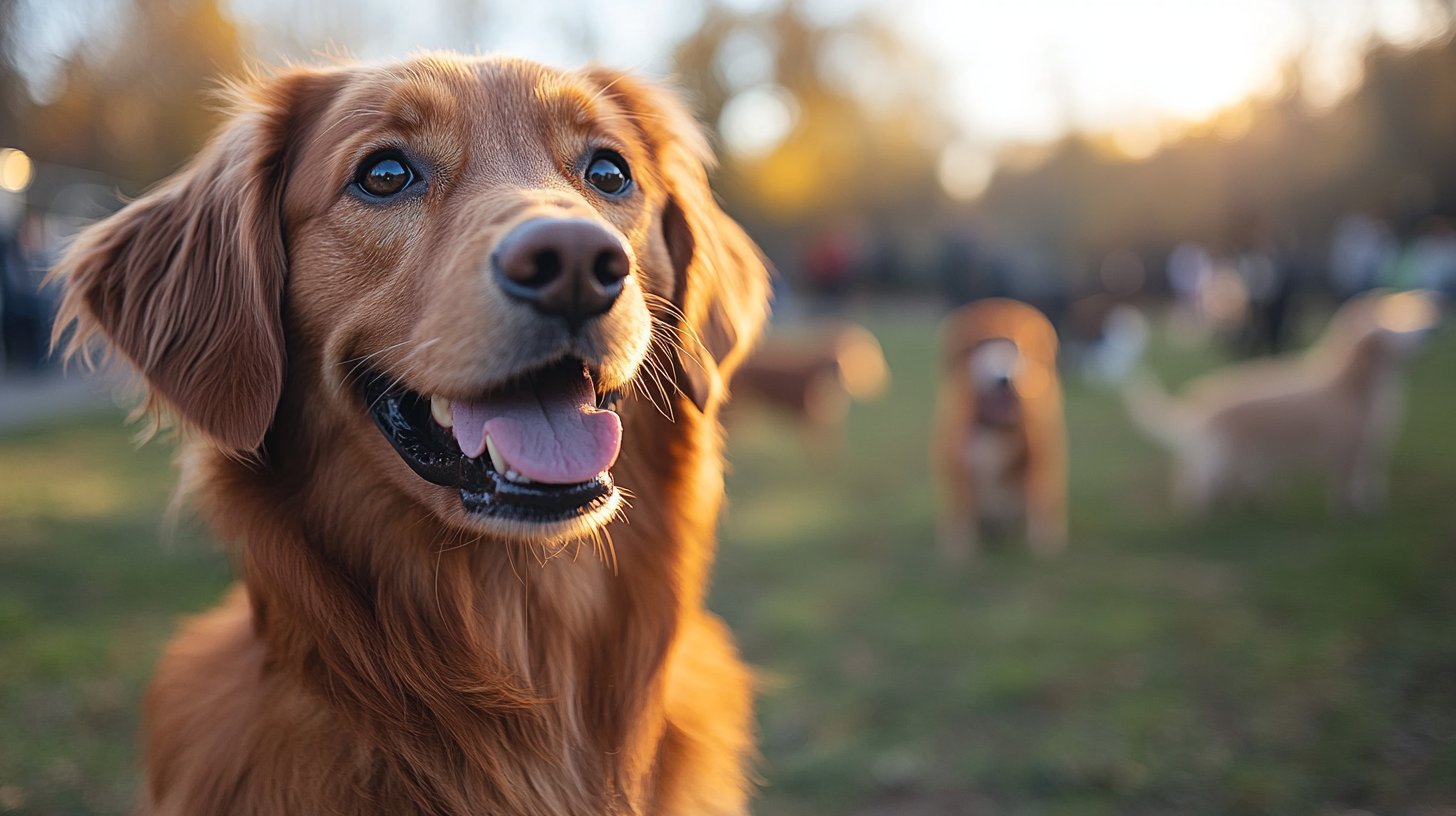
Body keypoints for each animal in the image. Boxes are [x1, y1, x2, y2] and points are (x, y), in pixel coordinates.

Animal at [931, 300, 1071, 559]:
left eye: (1015, 346)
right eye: (981, 344)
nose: (1004, 379)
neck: (992, 424)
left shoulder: (1038, 459)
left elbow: (1040, 505)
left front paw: (1043, 546)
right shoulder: (956, 467)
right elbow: (959, 516)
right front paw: (958, 554)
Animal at [1129, 289, 1438, 512]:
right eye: (1395, 326)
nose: (1430, 327)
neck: (1349, 385)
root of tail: (1200, 401)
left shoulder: (1369, 447)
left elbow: (1368, 480)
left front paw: (1369, 505)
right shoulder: (1345, 449)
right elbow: (1346, 486)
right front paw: (1351, 510)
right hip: (1219, 461)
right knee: (1194, 487)